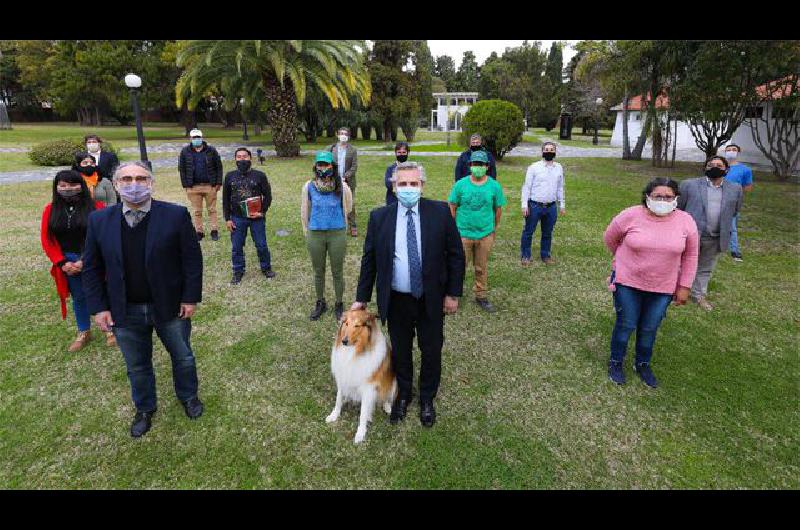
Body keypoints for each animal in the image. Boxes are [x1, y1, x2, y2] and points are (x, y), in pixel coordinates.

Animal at [326, 308, 398, 444]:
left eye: (357, 325)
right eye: (346, 323)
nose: (344, 341)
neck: (354, 352)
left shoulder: (368, 388)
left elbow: (363, 413)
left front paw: (360, 433)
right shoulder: (343, 377)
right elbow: (338, 399)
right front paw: (334, 415)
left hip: (394, 381)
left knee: (387, 397)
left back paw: (387, 407)